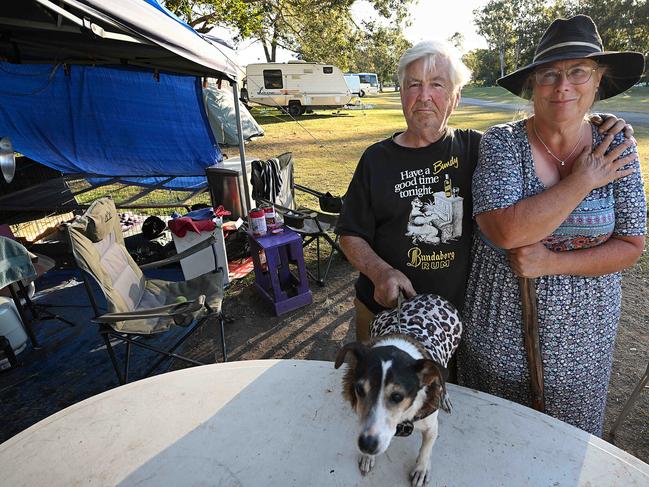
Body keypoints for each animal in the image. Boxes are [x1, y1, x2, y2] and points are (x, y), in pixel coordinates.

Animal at [334, 296, 460, 486]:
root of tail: (433, 296)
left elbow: (426, 449)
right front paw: (367, 457)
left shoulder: (431, 426)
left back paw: (444, 397)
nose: (366, 445)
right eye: (359, 389)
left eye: (397, 396)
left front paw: (421, 469)